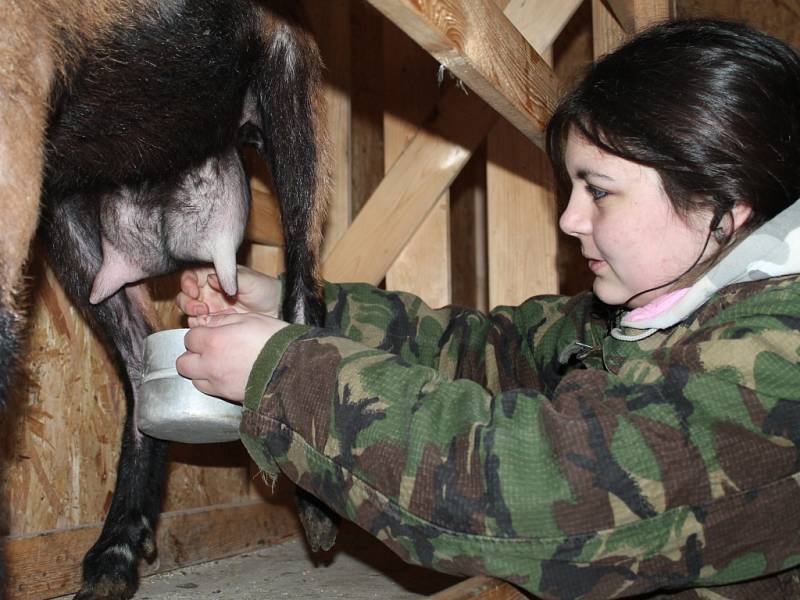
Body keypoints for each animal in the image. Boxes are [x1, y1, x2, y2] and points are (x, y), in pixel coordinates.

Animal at [0, 2, 340, 596]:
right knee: (137, 360)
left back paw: (313, 509)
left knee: (303, 289)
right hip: (64, 197)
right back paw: (114, 553)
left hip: (289, 80)